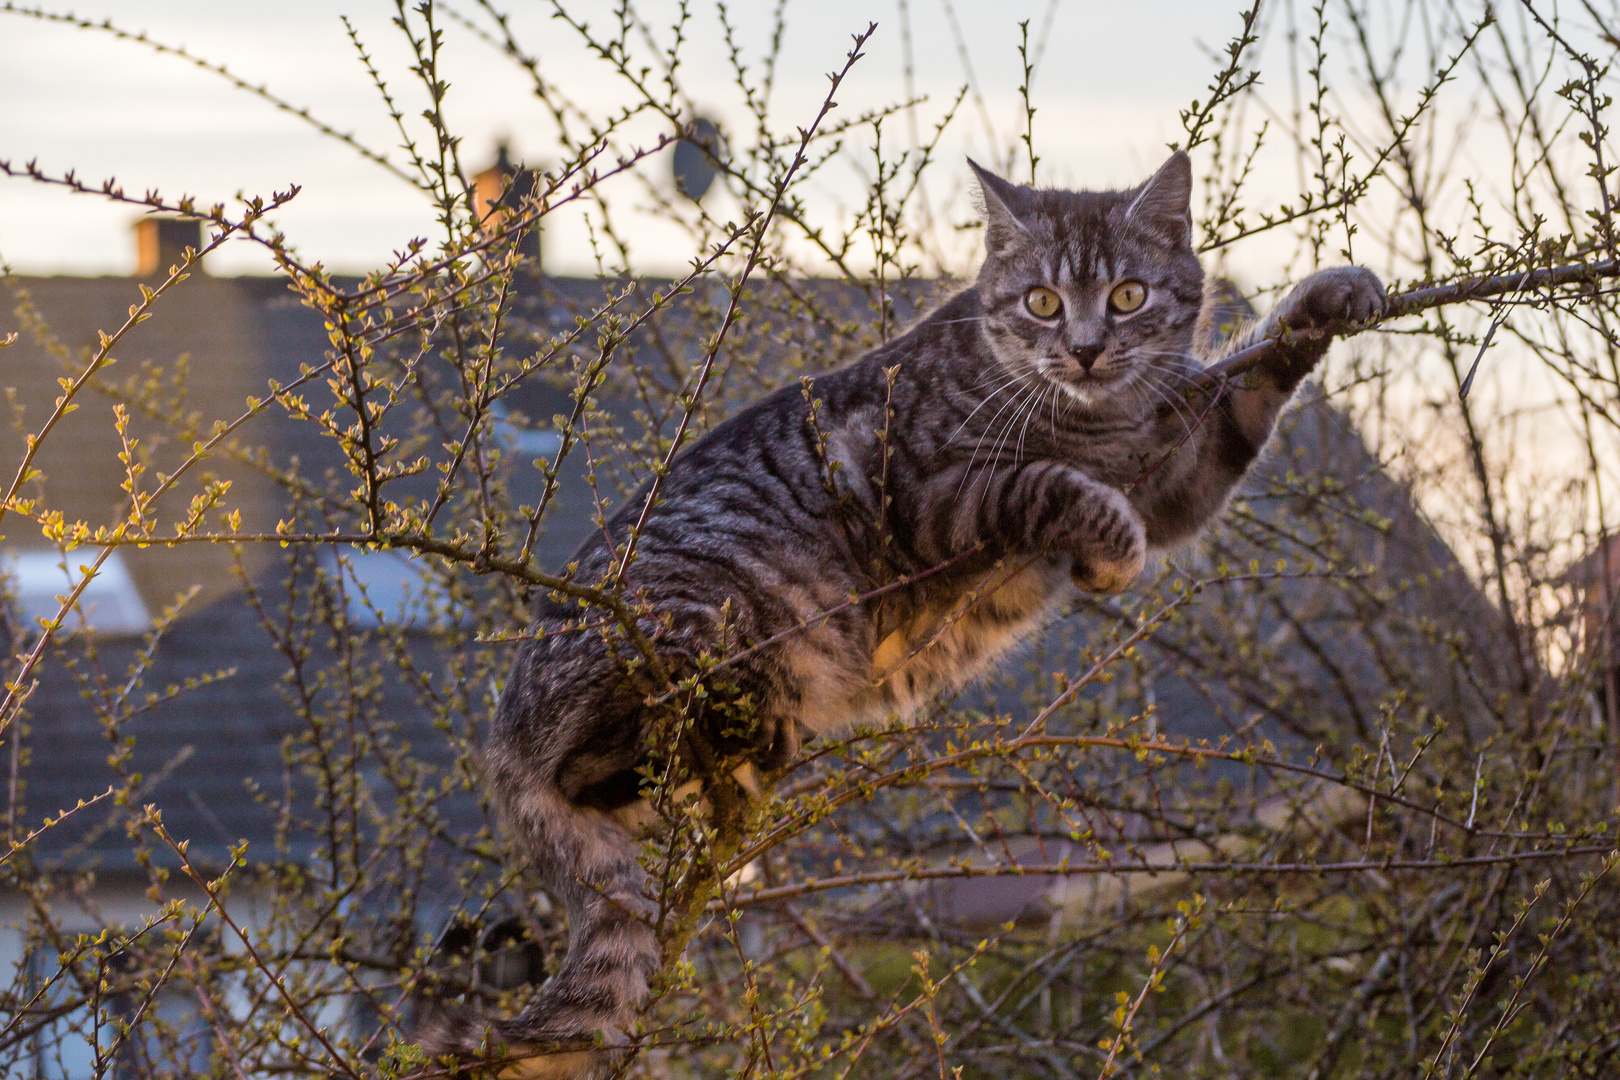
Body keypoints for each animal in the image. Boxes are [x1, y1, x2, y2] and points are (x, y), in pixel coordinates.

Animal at [414, 149, 1380, 1075]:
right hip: (708, 605)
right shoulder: (934, 494)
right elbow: (1050, 485)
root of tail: (503, 733)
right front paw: (1107, 545)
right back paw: (749, 724)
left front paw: (1325, 300)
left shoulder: (1183, 474)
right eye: (1040, 302)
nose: (1084, 348)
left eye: (1128, 295)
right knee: (604, 751)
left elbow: (1247, 397)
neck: (1103, 420)